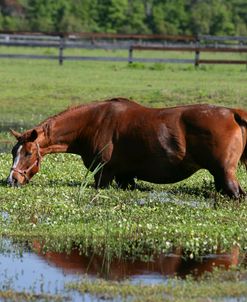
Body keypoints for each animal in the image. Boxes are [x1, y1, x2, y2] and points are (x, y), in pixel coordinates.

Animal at [6, 98, 247, 198]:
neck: (93, 123)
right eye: (13, 152)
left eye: (28, 153)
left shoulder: (103, 175)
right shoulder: (125, 178)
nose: (12, 180)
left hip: (225, 175)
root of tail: (233, 113)